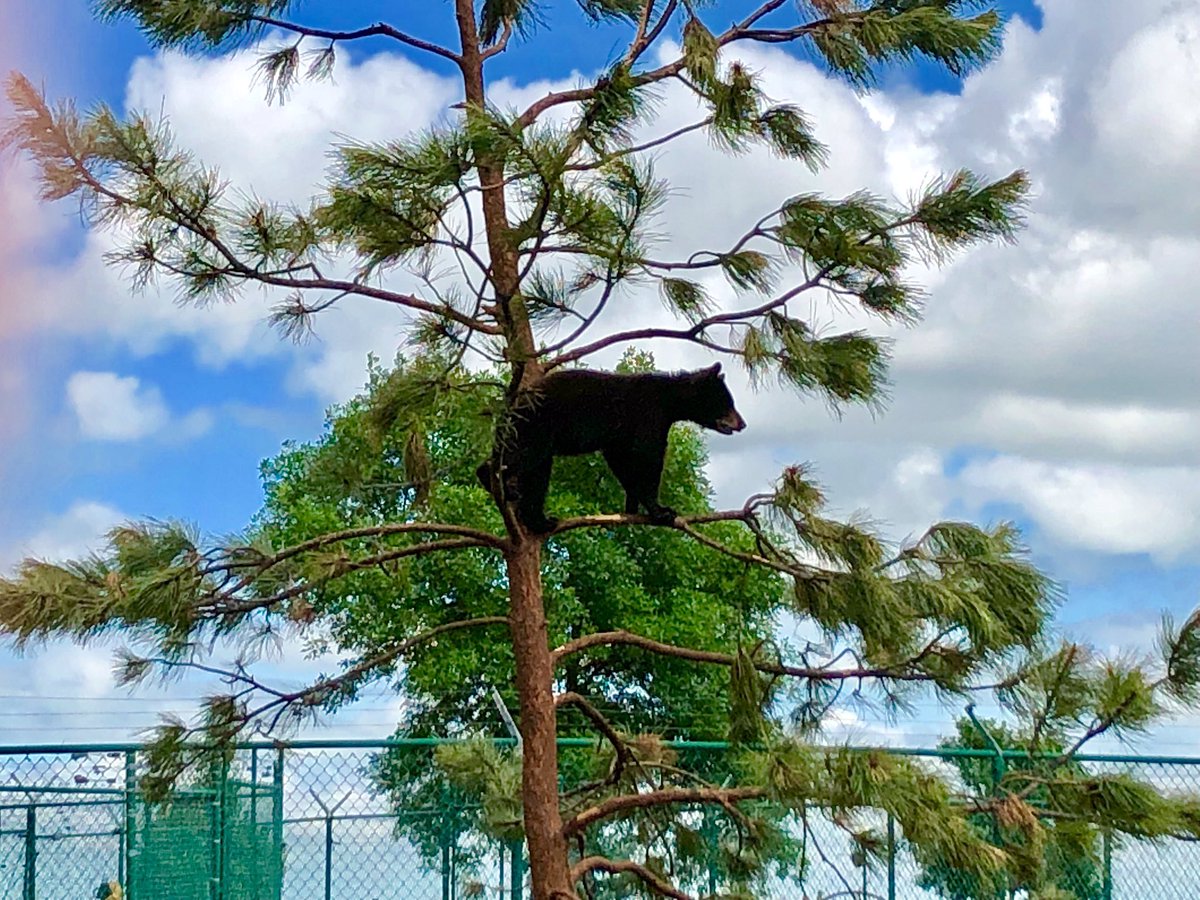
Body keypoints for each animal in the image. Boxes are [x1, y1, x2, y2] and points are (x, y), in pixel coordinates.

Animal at [477, 363, 746, 533]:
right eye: (728, 402)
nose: (742, 423)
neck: (670, 400)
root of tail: (510, 406)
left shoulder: (620, 435)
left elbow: (620, 459)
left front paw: (633, 505)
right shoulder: (649, 414)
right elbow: (649, 456)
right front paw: (661, 510)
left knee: (538, 475)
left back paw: (540, 520)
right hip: (536, 426)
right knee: (523, 457)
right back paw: (492, 479)